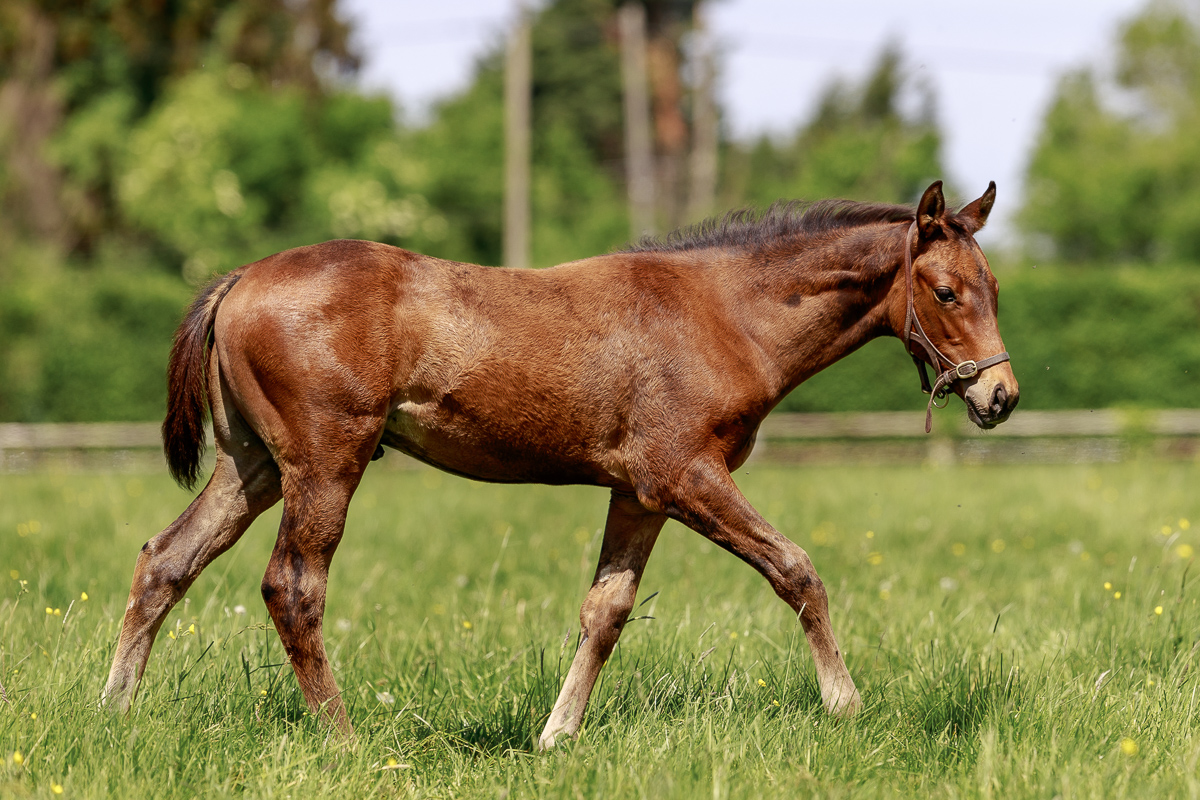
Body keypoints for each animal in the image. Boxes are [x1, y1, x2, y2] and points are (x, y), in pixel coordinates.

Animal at [103, 180, 1018, 748]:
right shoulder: (688, 475)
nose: (1000, 395)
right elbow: (796, 570)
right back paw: (346, 741)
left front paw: (556, 736)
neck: (725, 313)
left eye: (997, 286)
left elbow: (605, 610)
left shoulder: (640, 492)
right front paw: (847, 707)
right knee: (292, 587)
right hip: (326, 462)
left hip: (252, 465)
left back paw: (111, 712)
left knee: (165, 560)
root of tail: (239, 280)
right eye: (945, 292)